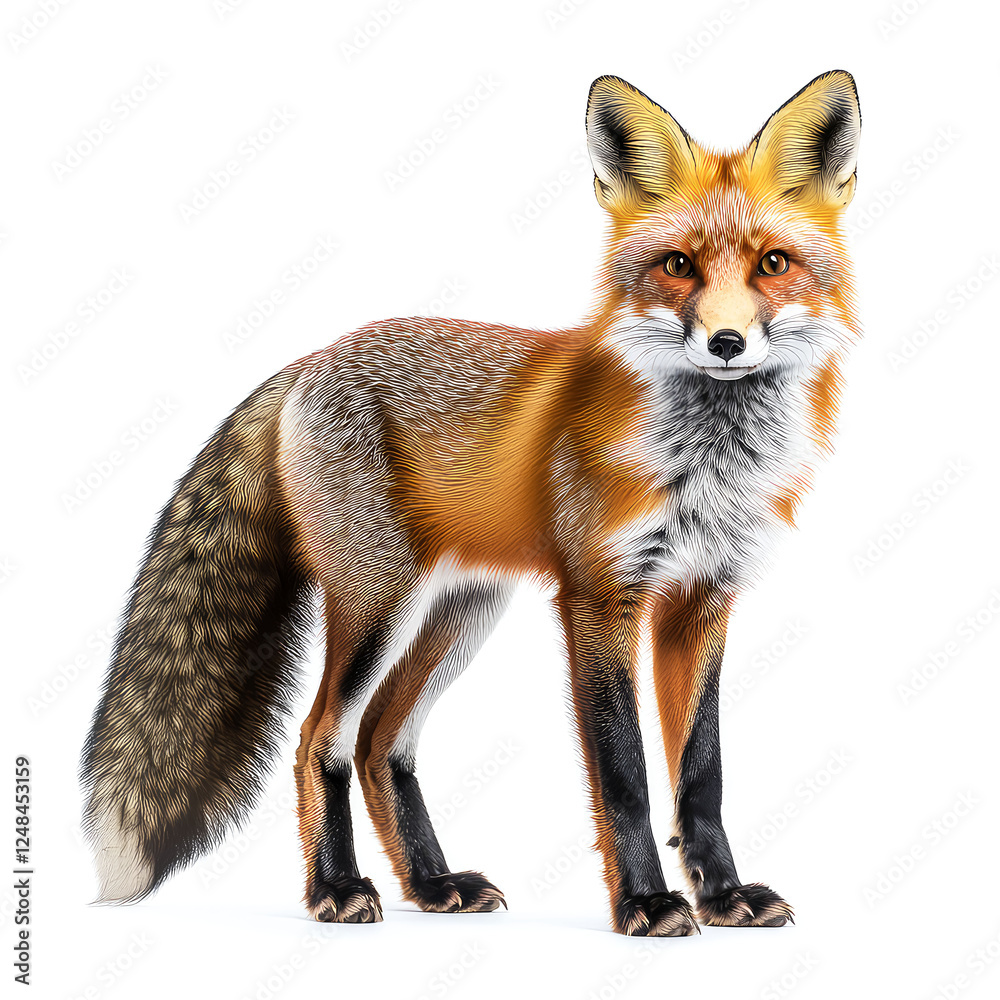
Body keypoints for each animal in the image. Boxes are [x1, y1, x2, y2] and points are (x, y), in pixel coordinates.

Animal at [82, 69, 861, 936]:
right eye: (679, 264)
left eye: (773, 264)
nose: (727, 342)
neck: (707, 463)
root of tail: (311, 358)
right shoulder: (600, 597)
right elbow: (624, 774)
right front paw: (646, 902)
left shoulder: (703, 598)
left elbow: (702, 773)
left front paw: (724, 896)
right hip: (378, 602)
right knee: (321, 738)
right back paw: (336, 889)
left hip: (460, 613)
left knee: (380, 743)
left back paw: (431, 883)